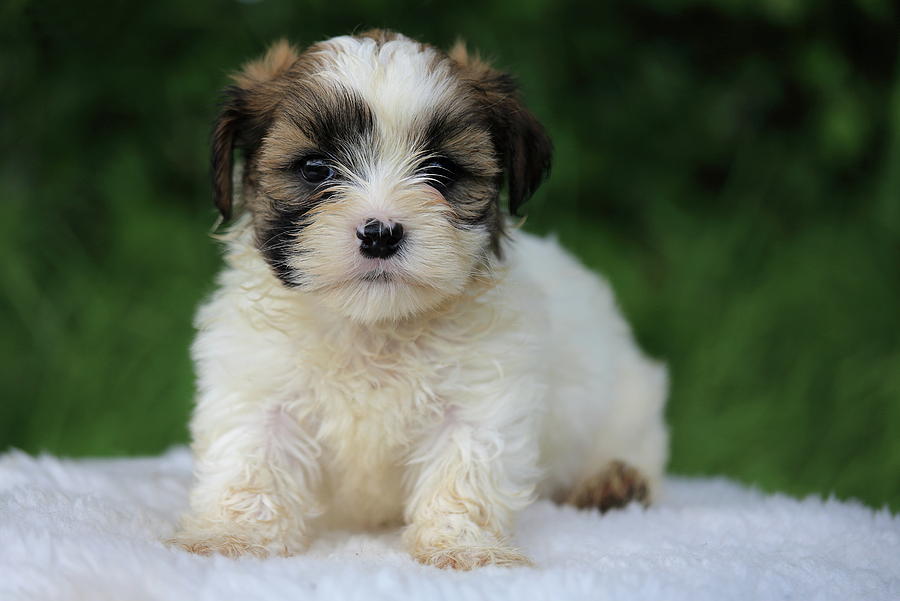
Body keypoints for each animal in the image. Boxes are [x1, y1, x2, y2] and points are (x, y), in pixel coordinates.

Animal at [171, 30, 668, 568]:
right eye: (315, 168)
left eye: (442, 171)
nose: (380, 233)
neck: (373, 328)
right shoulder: (258, 388)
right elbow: (251, 459)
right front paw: (232, 536)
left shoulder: (481, 397)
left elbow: (464, 471)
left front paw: (462, 548)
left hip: (627, 406)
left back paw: (614, 482)